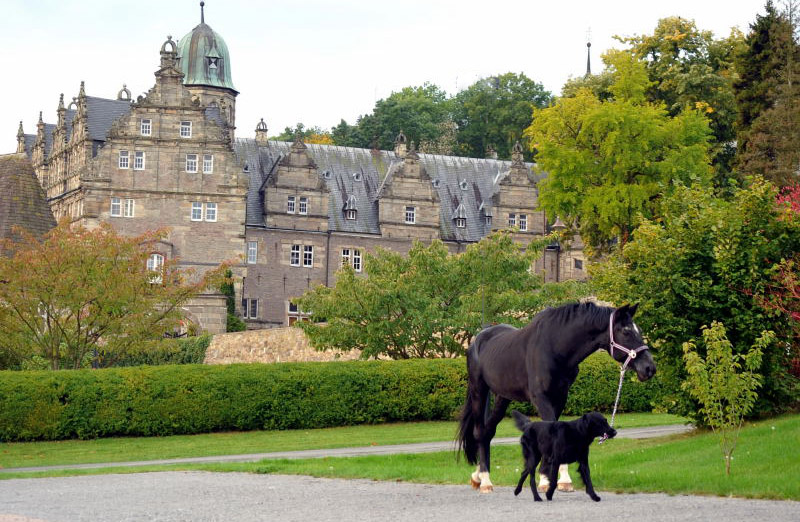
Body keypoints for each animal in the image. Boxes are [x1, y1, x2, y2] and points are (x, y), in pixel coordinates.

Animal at [456, 300, 656, 492]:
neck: (555, 347)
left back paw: (477, 477)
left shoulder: (560, 398)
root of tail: (478, 340)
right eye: (626, 331)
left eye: (639, 330)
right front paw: (548, 481)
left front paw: (560, 480)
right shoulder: (541, 398)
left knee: (488, 431)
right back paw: (485, 481)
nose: (649, 368)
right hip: (479, 390)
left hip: (503, 397)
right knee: (480, 431)